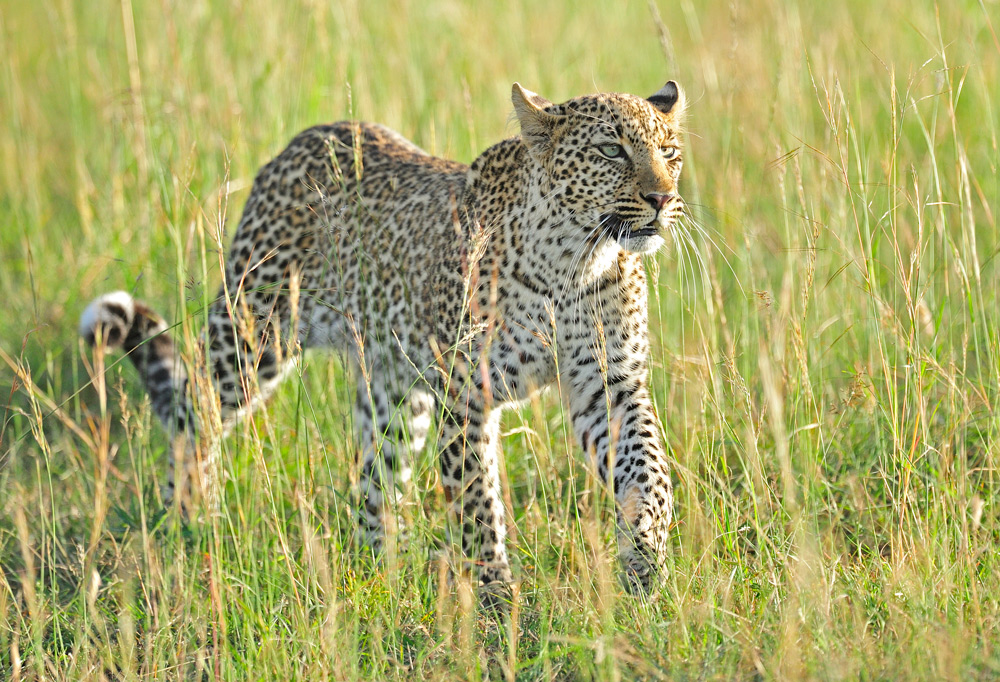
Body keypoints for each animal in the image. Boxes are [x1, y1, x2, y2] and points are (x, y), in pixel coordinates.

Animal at [82, 81, 688, 600]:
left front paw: (645, 552)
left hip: (395, 390)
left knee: (374, 480)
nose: (661, 198)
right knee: (197, 416)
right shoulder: (466, 395)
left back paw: (377, 571)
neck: (575, 261)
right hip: (252, 334)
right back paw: (185, 522)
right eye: (611, 150)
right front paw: (495, 596)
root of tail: (311, 136)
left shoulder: (608, 386)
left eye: (671, 153)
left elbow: (650, 468)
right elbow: (477, 501)